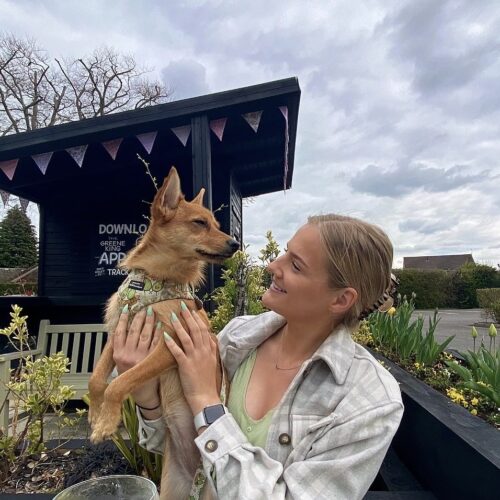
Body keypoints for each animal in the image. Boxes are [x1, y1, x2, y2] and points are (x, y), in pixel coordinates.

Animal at [88, 167, 238, 496]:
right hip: (170, 487)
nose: (235, 243)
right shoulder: (117, 333)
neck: (152, 282)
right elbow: (97, 378)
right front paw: (95, 413)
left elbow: (121, 382)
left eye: (217, 225)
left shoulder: (169, 346)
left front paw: (105, 422)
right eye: (200, 223)